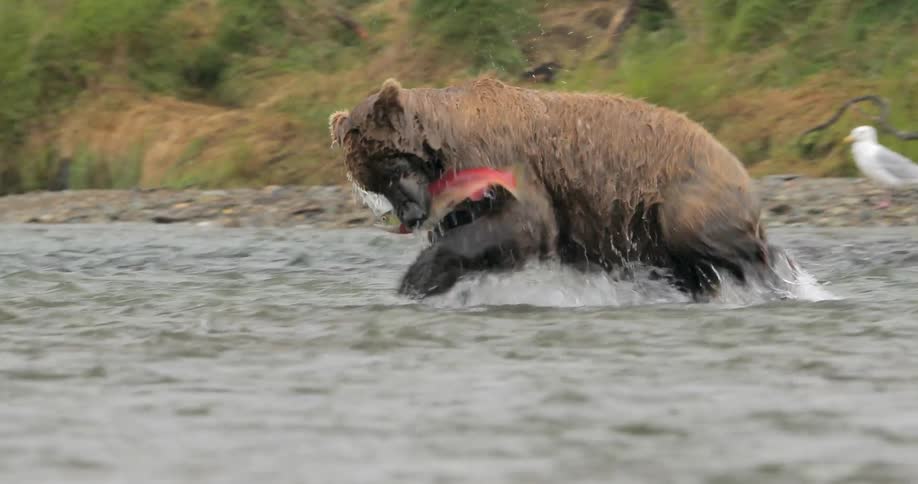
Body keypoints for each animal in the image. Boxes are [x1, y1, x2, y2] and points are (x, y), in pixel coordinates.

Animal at [329, 77, 788, 300]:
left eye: (391, 165)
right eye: (372, 184)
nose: (411, 216)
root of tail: (735, 161)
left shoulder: (502, 160)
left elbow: (525, 223)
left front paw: (415, 277)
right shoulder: (458, 200)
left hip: (684, 195)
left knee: (715, 240)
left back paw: (773, 274)